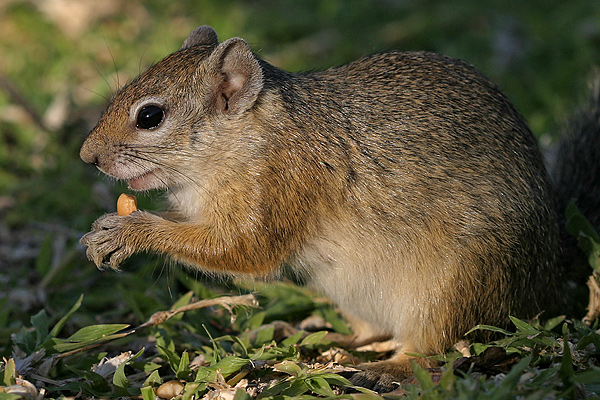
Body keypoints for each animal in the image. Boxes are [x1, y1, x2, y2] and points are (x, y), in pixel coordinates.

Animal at [79, 26, 600, 392]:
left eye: (150, 116)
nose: (88, 157)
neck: (247, 136)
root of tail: (551, 271)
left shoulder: (284, 183)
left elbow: (246, 250)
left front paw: (129, 232)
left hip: (458, 283)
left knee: (434, 348)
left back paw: (391, 370)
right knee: (371, 332)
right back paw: (330, 342)